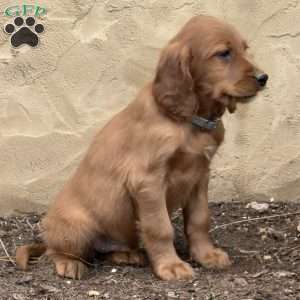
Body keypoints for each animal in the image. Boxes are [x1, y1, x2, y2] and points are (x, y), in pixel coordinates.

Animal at [15, 15, 268, 280]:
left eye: (245, 49)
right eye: (224, 53)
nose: (264, 78)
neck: (190, 121)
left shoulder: (200, 175)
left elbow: (200, 220)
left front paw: (207, 255)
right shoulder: (148, 180)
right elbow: (160, 227)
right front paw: (171, 266)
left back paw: (127, 255)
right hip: (76, 226)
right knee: (56, 251)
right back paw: (69, 263)